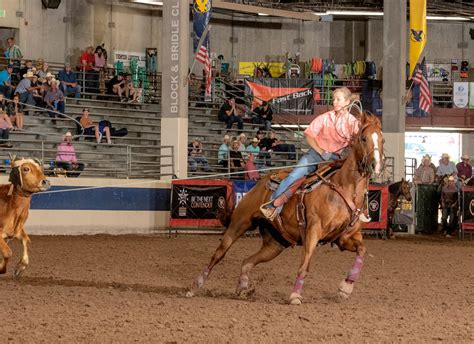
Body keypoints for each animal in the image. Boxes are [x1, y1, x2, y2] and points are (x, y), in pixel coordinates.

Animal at [187, 112, 384, 304]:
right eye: (364, 138)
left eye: (382, 139)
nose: (376, 165)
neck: (343, 188)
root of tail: (261, 182)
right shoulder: (313, 231)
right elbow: (305, 264)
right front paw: (295, 295)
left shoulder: (344, 238)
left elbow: (362, 250)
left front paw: (346, 287)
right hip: (239, 223)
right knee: (218, 255)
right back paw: (194, 287)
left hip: (275, 244)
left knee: (247, 261)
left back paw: (243, 288)